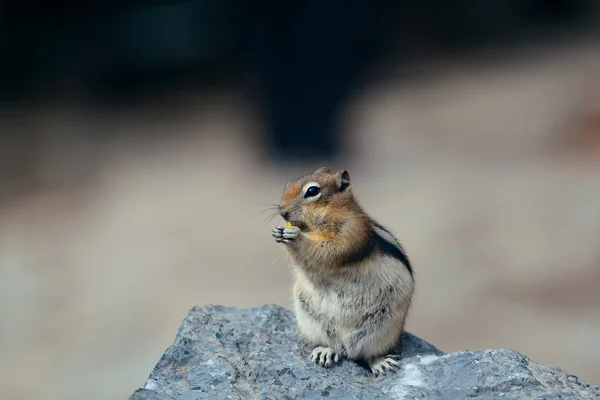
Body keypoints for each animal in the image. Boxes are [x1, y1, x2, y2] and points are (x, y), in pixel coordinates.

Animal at [270, 166, 412, 376]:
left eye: (312, 191)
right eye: (288, 185)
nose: (282, 211)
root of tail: (348, 346)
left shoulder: (352, 232)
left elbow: (329, 251)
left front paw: (296, 237)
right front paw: (279, 233)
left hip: (383, 330)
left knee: (370, 354)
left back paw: (381, 363)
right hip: (313, 322)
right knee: (335, 345)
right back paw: (325, 351)